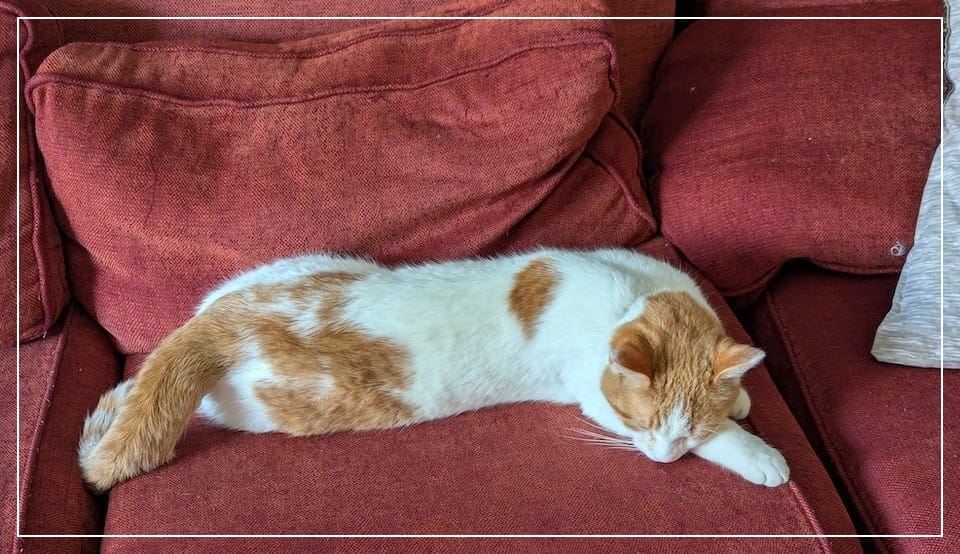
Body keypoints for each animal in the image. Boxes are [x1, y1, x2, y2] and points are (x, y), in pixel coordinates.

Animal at [79, 248, 788, 490]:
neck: (629, 293)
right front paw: (755, 451)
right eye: (645, 425)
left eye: (683, 432)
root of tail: (214, 327)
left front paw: (740, 400)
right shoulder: (593, 397)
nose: (665, 460)